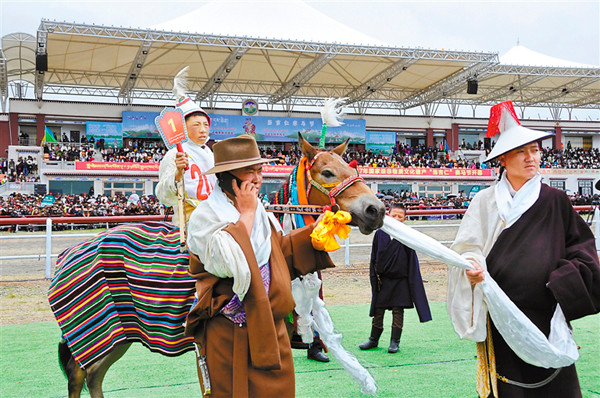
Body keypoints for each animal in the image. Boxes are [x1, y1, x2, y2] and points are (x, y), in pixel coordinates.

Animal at [54, 135, 386, 396]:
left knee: (93, 378)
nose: (377, 209)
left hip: (120, 336)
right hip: (101, 333)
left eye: (353, 169)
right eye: (327, 172)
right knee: (79, 376)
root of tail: (71, 250)